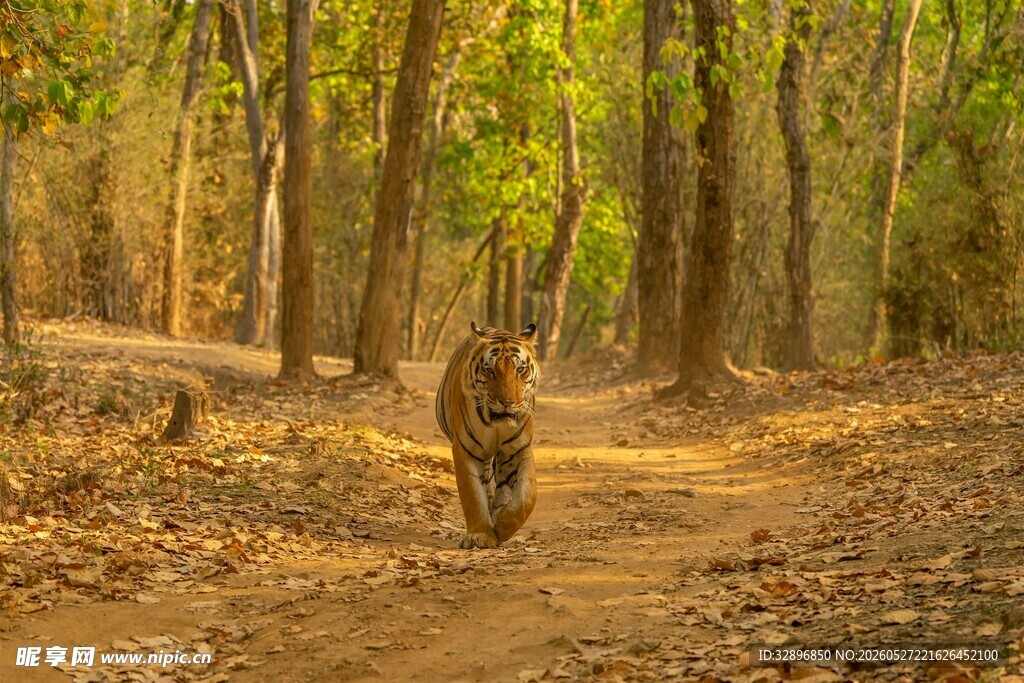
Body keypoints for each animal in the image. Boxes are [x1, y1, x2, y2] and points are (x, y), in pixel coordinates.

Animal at [435, 321, 540, 549]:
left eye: (520, 369)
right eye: (489, 370)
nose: (507, 402)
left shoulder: (518, 449)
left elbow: (527, 496)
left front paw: (502, 526)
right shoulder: (466, 449)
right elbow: (473, 495)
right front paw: (480, 534)